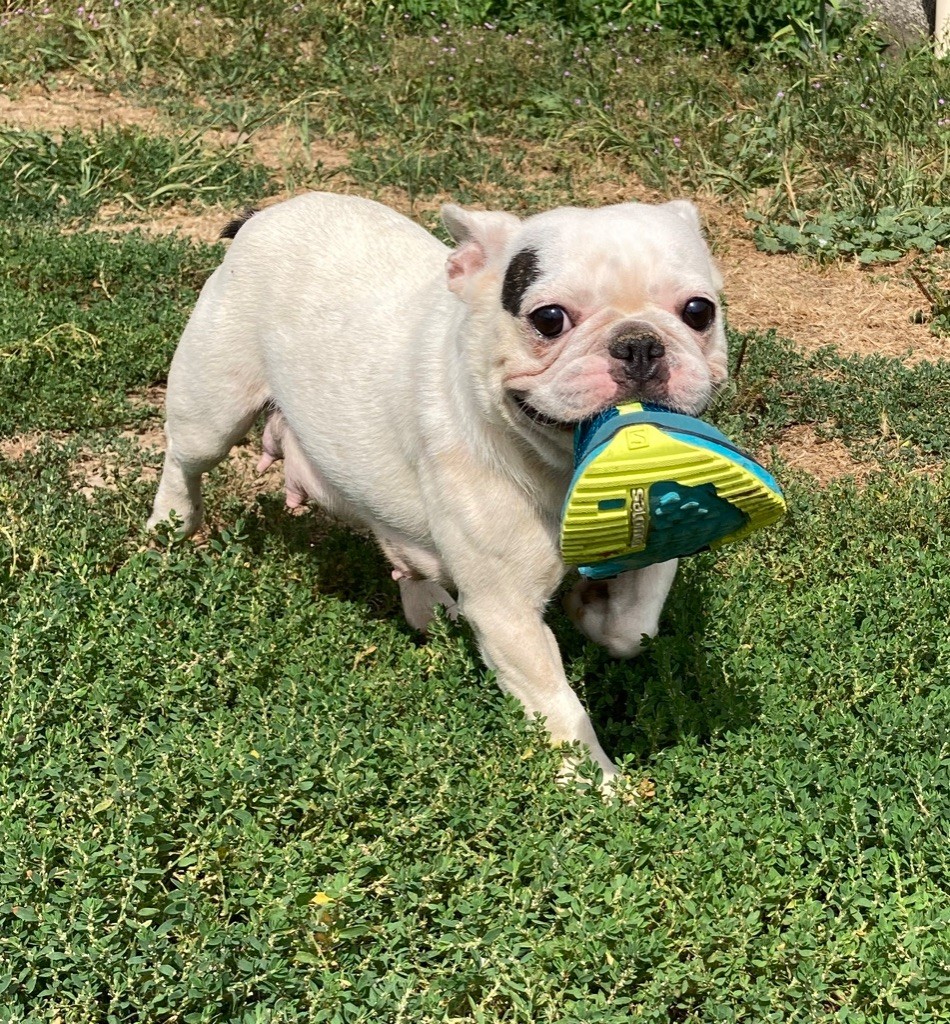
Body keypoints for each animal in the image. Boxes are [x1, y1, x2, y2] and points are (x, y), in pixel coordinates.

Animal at [148, 191, 727, 780]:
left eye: (699, 311)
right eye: (549, 319)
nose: (639, 344)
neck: (560, 466)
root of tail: (266, 214)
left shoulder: (661, 542)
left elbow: (635, 626)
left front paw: (591, 609)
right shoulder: (506, 613)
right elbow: (558, 706)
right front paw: (597, 784)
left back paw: (431, 606)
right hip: (213, 406)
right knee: (185, 460)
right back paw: (171, 523)